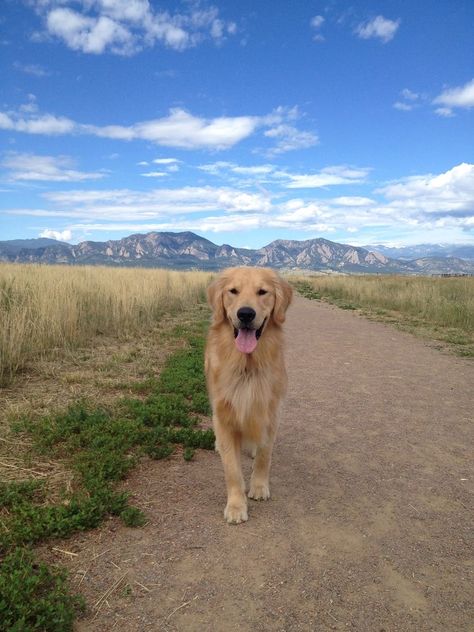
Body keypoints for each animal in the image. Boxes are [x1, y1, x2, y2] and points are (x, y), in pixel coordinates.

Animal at [205, 266, 292, 524]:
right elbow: (232, 470)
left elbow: (265, 455)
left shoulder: (271, 413)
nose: (245, 314)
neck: (248, 366)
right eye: (233, 291)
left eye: (262, 292)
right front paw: (236, 506)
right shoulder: (224, 415)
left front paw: (259, 487)